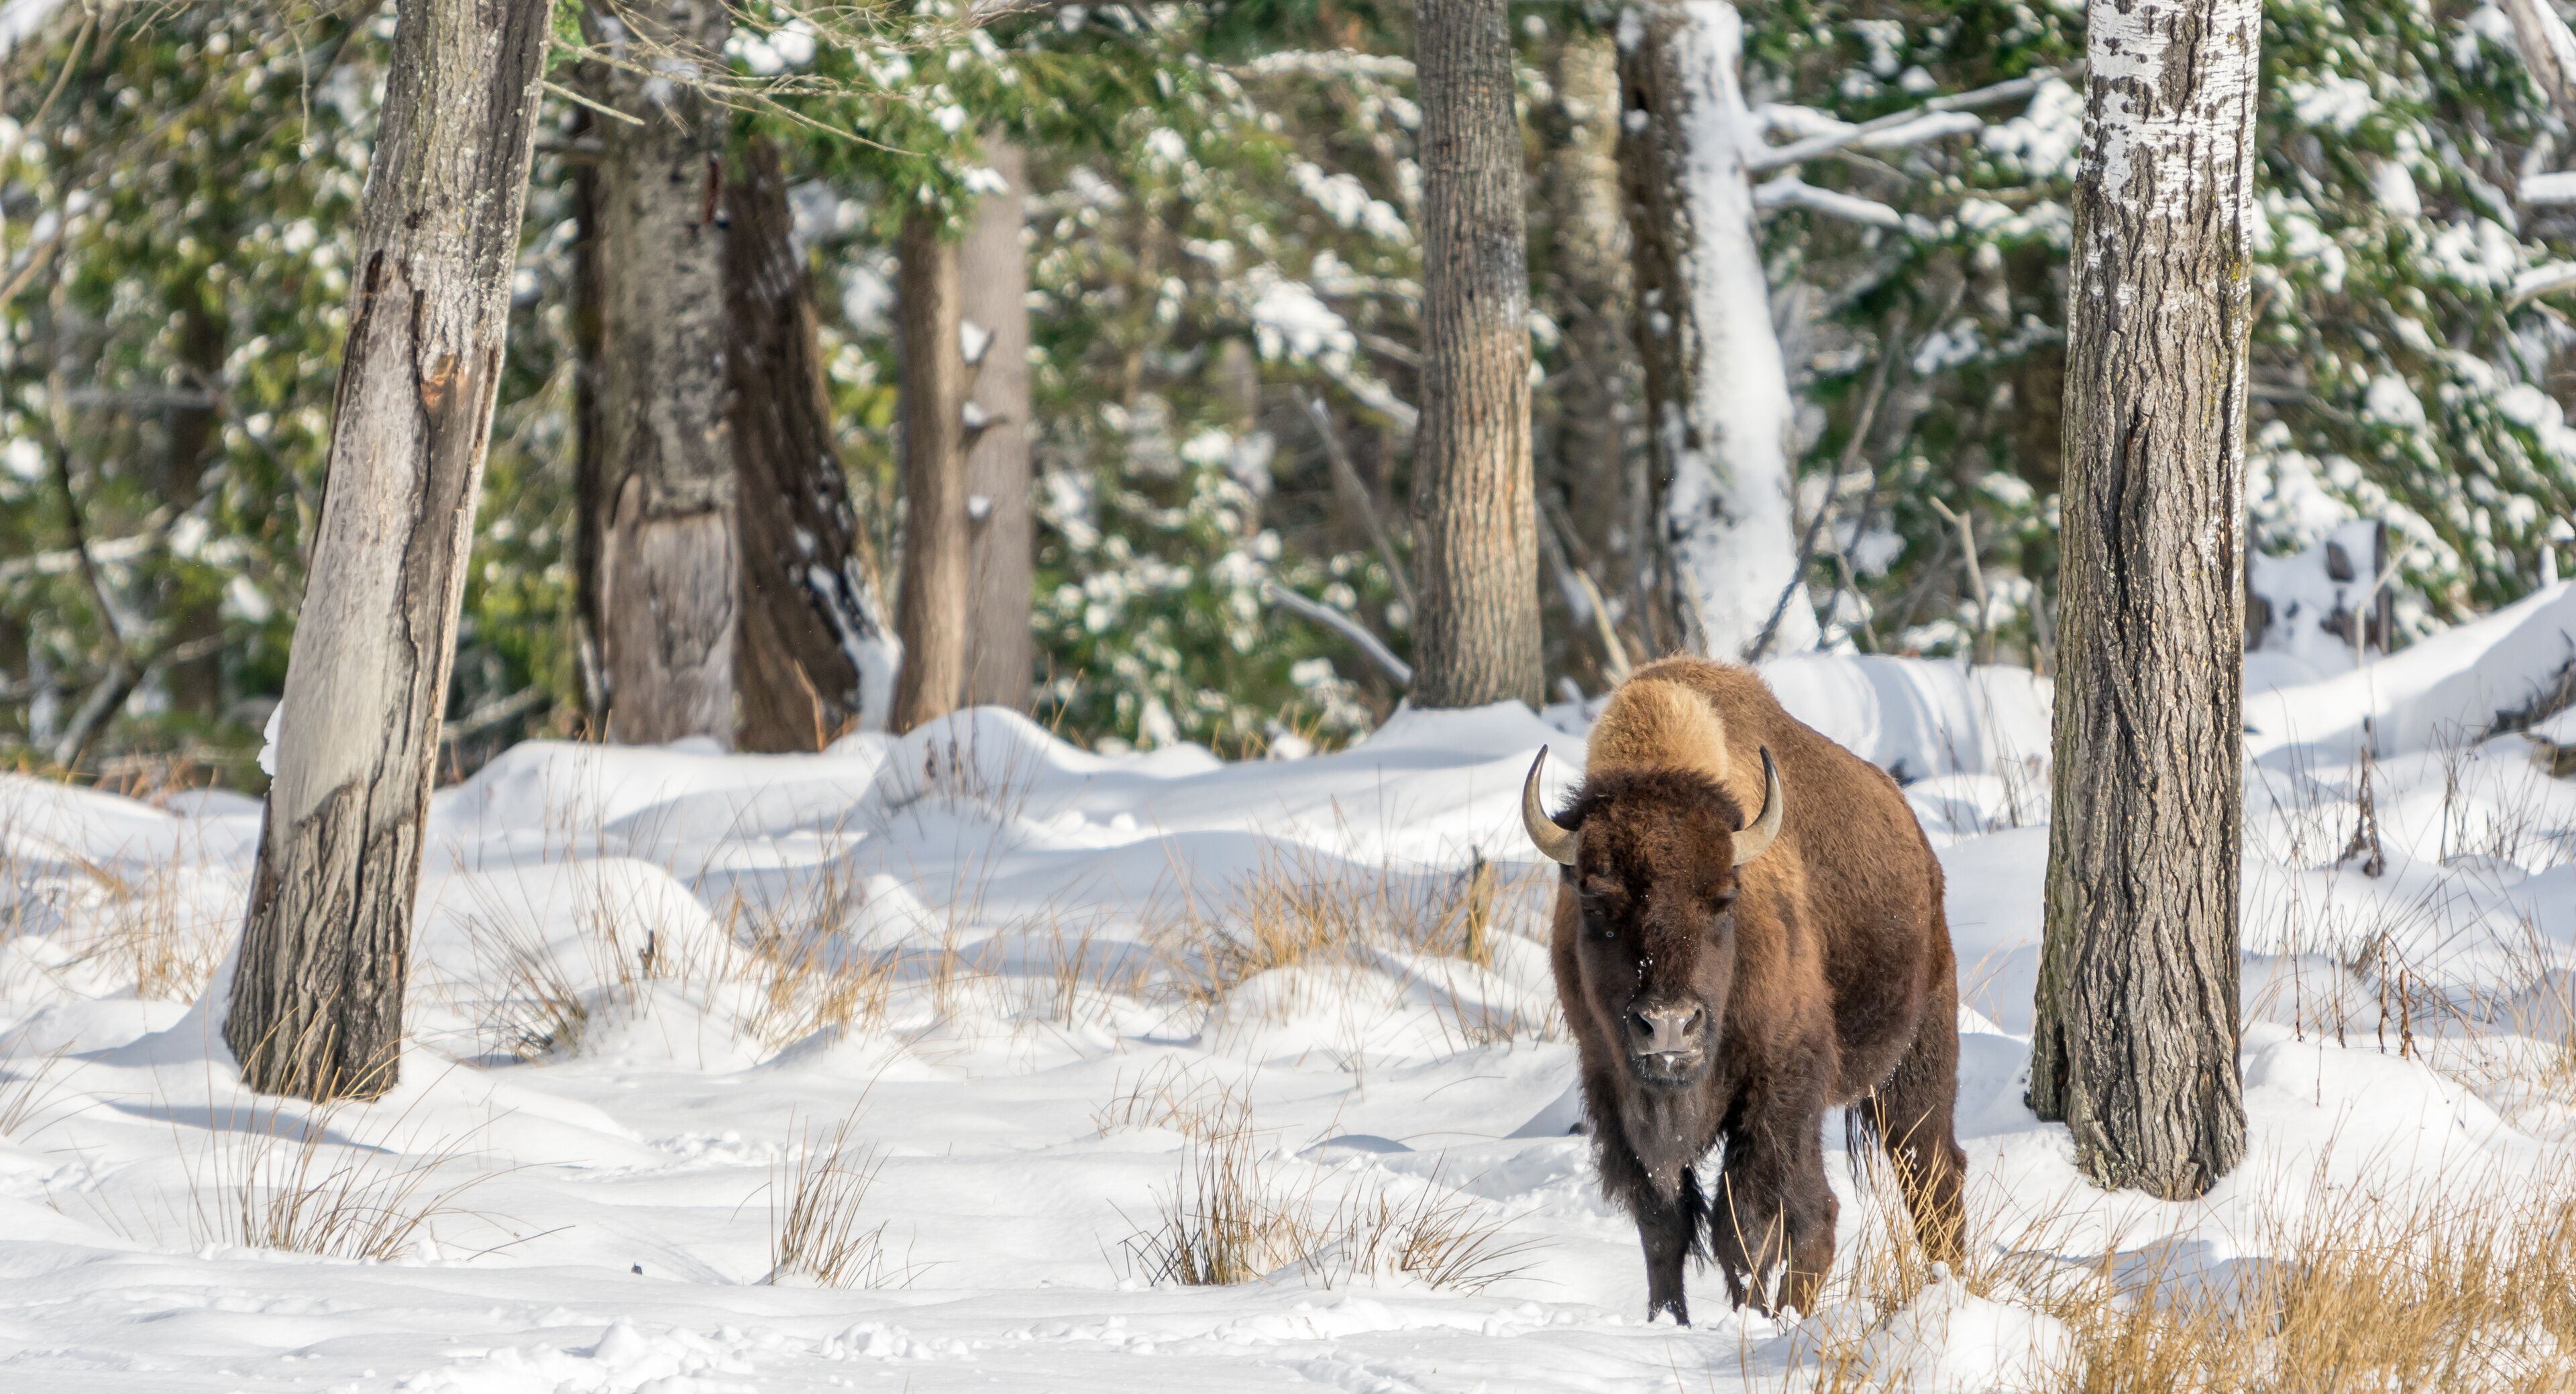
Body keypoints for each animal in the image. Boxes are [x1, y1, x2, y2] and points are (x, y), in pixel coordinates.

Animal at [1522, 658, 1966, 1322]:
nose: (1669, 1025)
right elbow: (1663, 1222)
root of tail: (1921, 850)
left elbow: (1752, 1222)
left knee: (1921, 1182)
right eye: (1594, 901)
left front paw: (1751, 1318)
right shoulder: (1611, 1085)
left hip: (1912, 1067)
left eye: (1723, 898)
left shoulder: (1776, 1085)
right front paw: (1667, 1320)